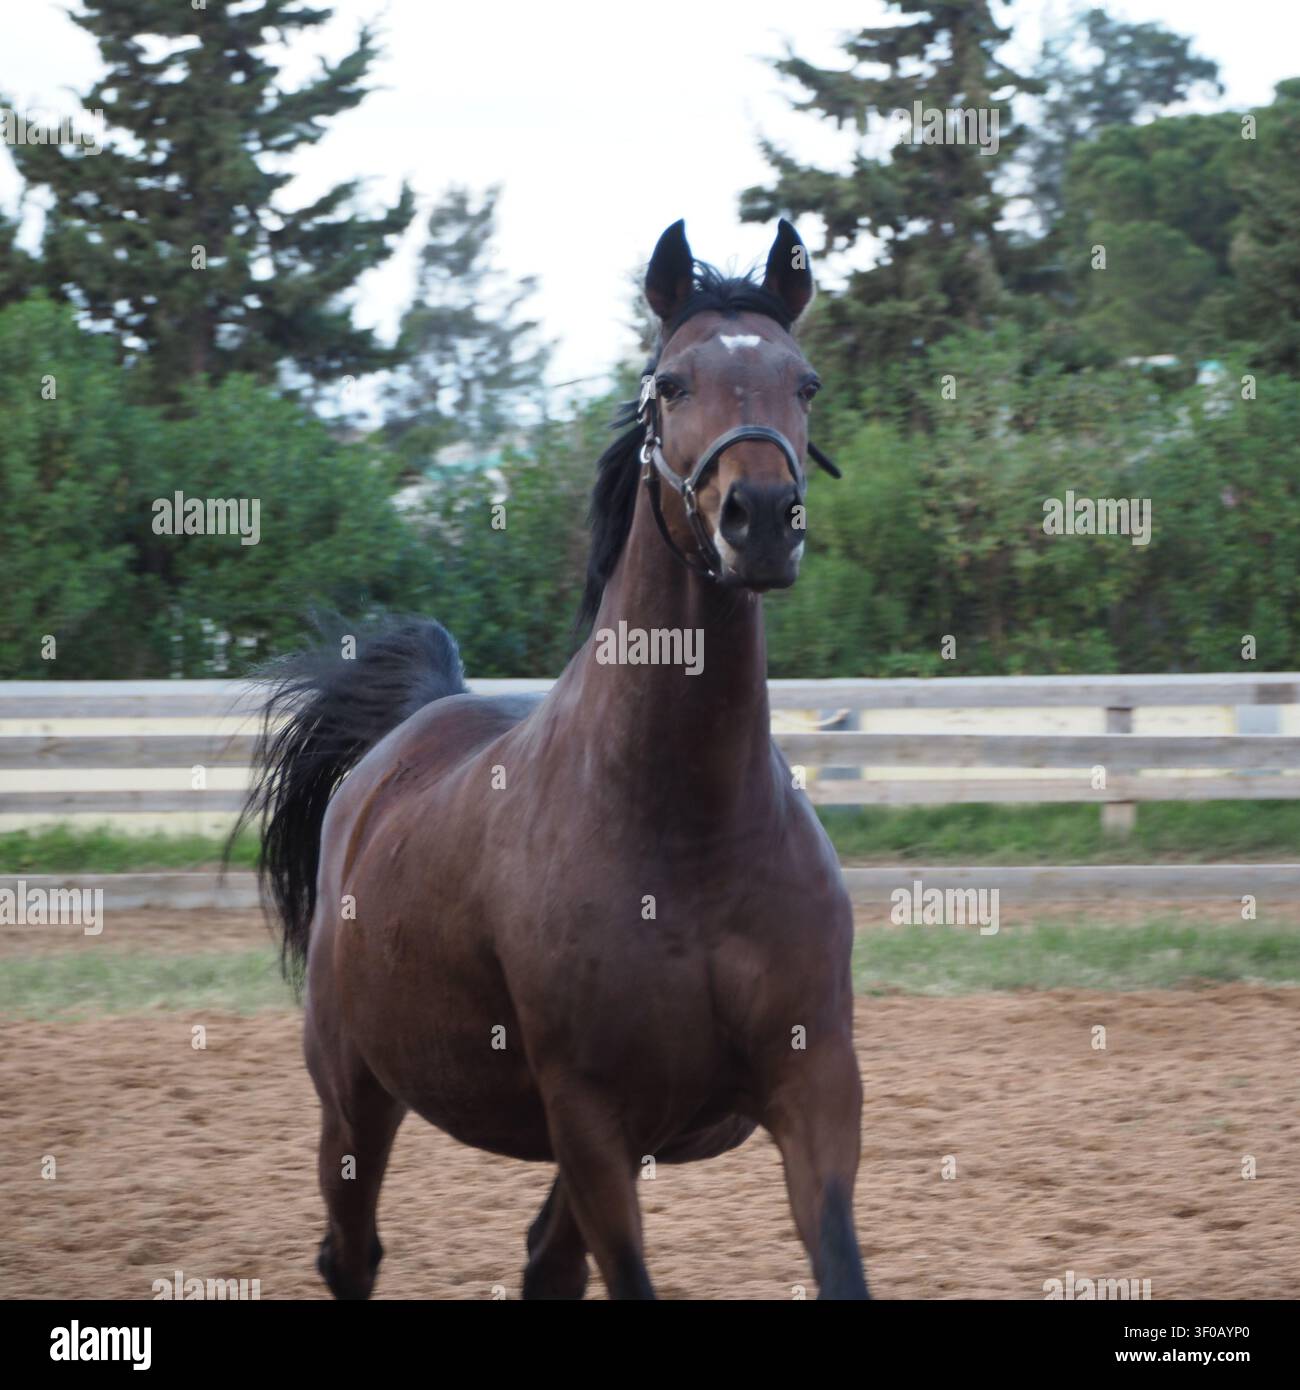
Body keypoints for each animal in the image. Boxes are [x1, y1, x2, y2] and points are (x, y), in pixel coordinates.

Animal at [237, 218, 870, 1300]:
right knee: (350, 1251)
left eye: (807, 382)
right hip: (357, 1093)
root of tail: (418, 718)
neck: (687, 833)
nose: (760, 517)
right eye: (671, 384)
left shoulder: (813, 1089)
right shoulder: (591, 1120)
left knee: (541, 1261)